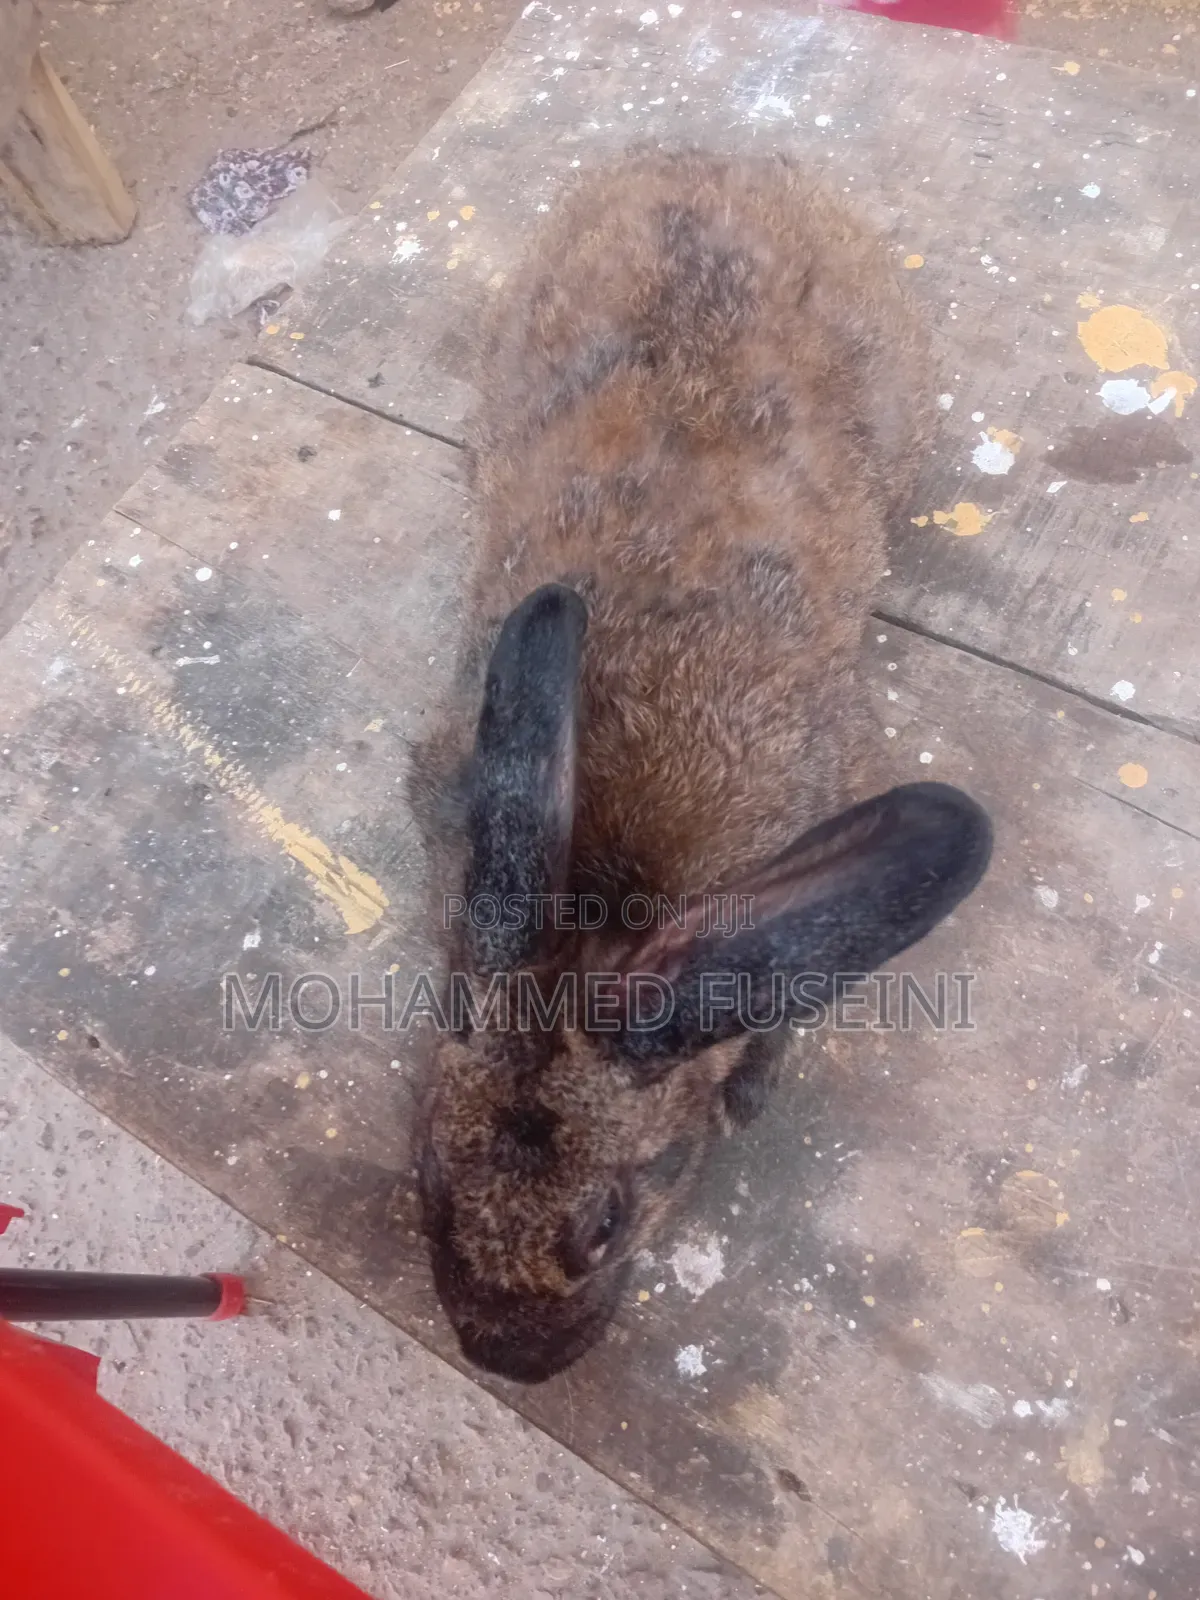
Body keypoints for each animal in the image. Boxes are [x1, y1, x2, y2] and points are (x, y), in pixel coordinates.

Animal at [409, 148, 992, 1384]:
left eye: (608, 1223)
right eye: (431, 1175)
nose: (506, 1358)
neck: (611, 898)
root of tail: (705, 156)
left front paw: (752, 1094)